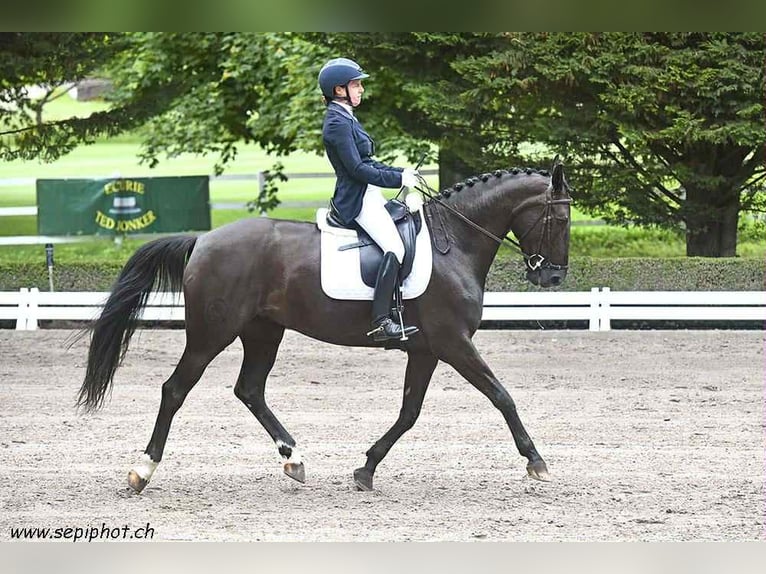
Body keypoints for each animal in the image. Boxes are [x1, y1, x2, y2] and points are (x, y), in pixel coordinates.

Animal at [77, 158, 572, 493]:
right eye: (562, 217)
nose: (552, 278)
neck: (453, 243)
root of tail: (203, 239)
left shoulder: (426, 349)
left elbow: (409, 412)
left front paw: (366, 468)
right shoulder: (453, 343)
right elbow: (501, 396)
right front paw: (536, 461)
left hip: (263, 331)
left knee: (249, 389)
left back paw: (293, 459)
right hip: (211, 334)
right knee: (175, 390)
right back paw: (142, 471)